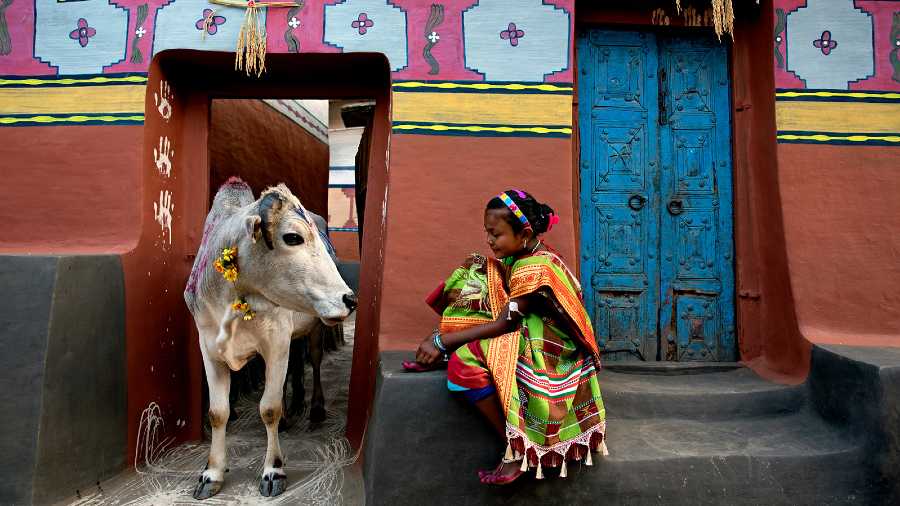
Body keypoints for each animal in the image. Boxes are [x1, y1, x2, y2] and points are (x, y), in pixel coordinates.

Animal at [184, 178, 356, 499]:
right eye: (293, 237)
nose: (349, 299)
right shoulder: (209, 349)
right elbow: (217, 413)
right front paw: (211, 473)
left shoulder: (275, 344)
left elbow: (269, 408)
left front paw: (273, 470)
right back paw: (294, 406)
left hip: (314, 330)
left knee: (313, 364)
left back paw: (314, 408)